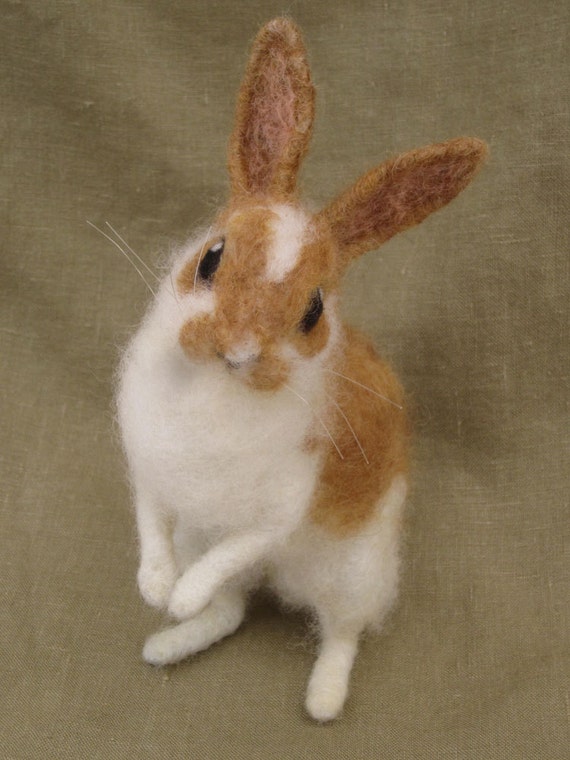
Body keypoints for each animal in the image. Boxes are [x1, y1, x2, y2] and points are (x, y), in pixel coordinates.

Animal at [116, 16, 484, 720]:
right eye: (211, 258)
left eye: (312, 311)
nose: (237, 348)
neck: (219, 393)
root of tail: (281, 582)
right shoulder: (152, 469)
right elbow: (151, 520)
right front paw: (155, 588)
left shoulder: (278, 507)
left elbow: (243, 541)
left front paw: (179, 593)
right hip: (209, 537)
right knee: (230, 612)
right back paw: (168, 643)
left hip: (354, 575)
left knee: (339, 631)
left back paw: (323, 698)